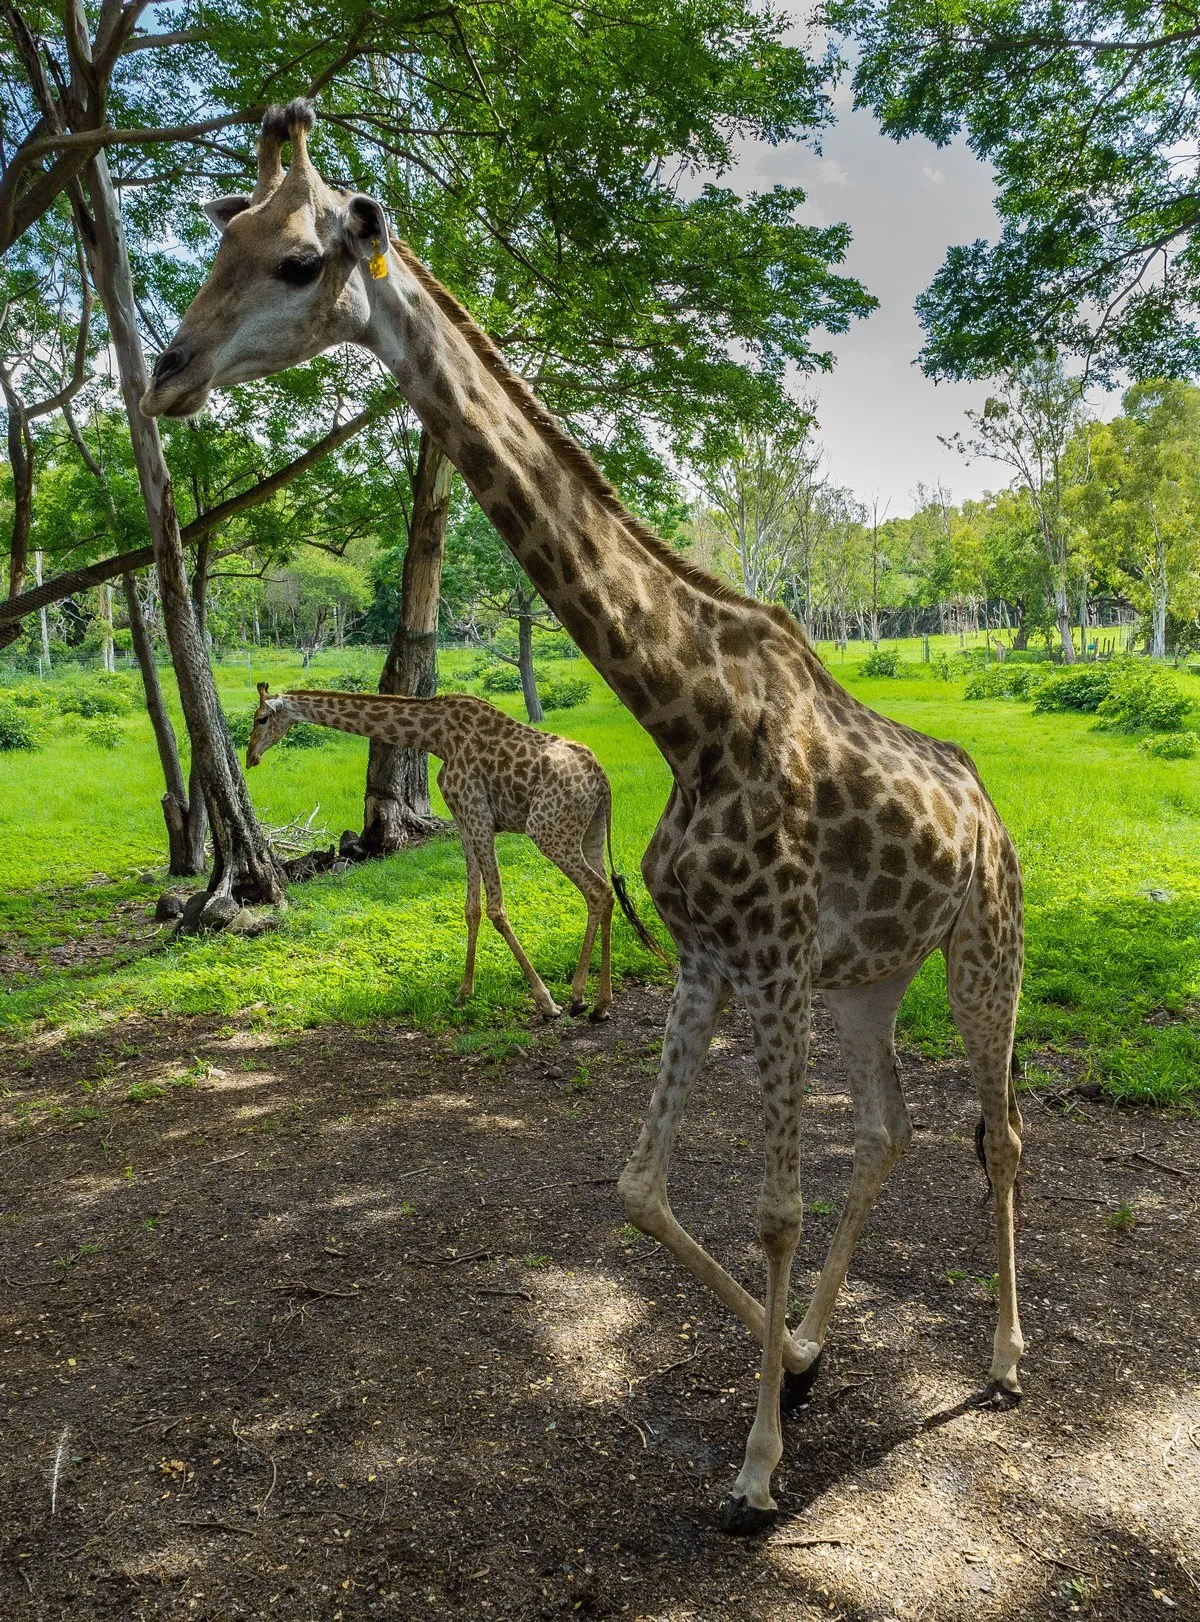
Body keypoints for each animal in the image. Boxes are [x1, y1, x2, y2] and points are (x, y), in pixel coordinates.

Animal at [247, 683, 664, 1020]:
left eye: (262, 718)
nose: (251, 757)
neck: (437, 738)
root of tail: (603, 780)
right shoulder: (464, 821)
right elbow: (472, 908)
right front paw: (465, 993)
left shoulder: (477, 815)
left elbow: (496, 908)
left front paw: (545, 1002)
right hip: (590, 831)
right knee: (605, 893)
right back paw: (593, 1001)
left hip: (547, 830)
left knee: (598, 891)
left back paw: (584, 1000)